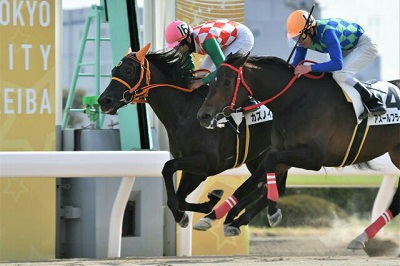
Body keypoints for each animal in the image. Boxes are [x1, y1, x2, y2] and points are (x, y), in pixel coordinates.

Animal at [99, 44, 290, 235]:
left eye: (128, 70)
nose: (103, 101)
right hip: (260, 158)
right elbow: (179, 197)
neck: (185, 112)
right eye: (113, 70)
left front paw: (186, 214)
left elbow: (167, 168)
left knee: (265, 187)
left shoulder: (206, 163)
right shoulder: (192, 168)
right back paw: (234, 219)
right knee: (269, 188)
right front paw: (206, 203)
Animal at [197, 52, 400, 249]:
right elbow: (251, 182)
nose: (203, 116)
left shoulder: (313, 157)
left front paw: (272, 212)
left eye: (226, 82)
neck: (294, 101)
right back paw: (362, 237)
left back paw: (362, 237)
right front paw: (215, 217)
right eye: (213, 81)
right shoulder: (285, 152)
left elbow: (269, 166)